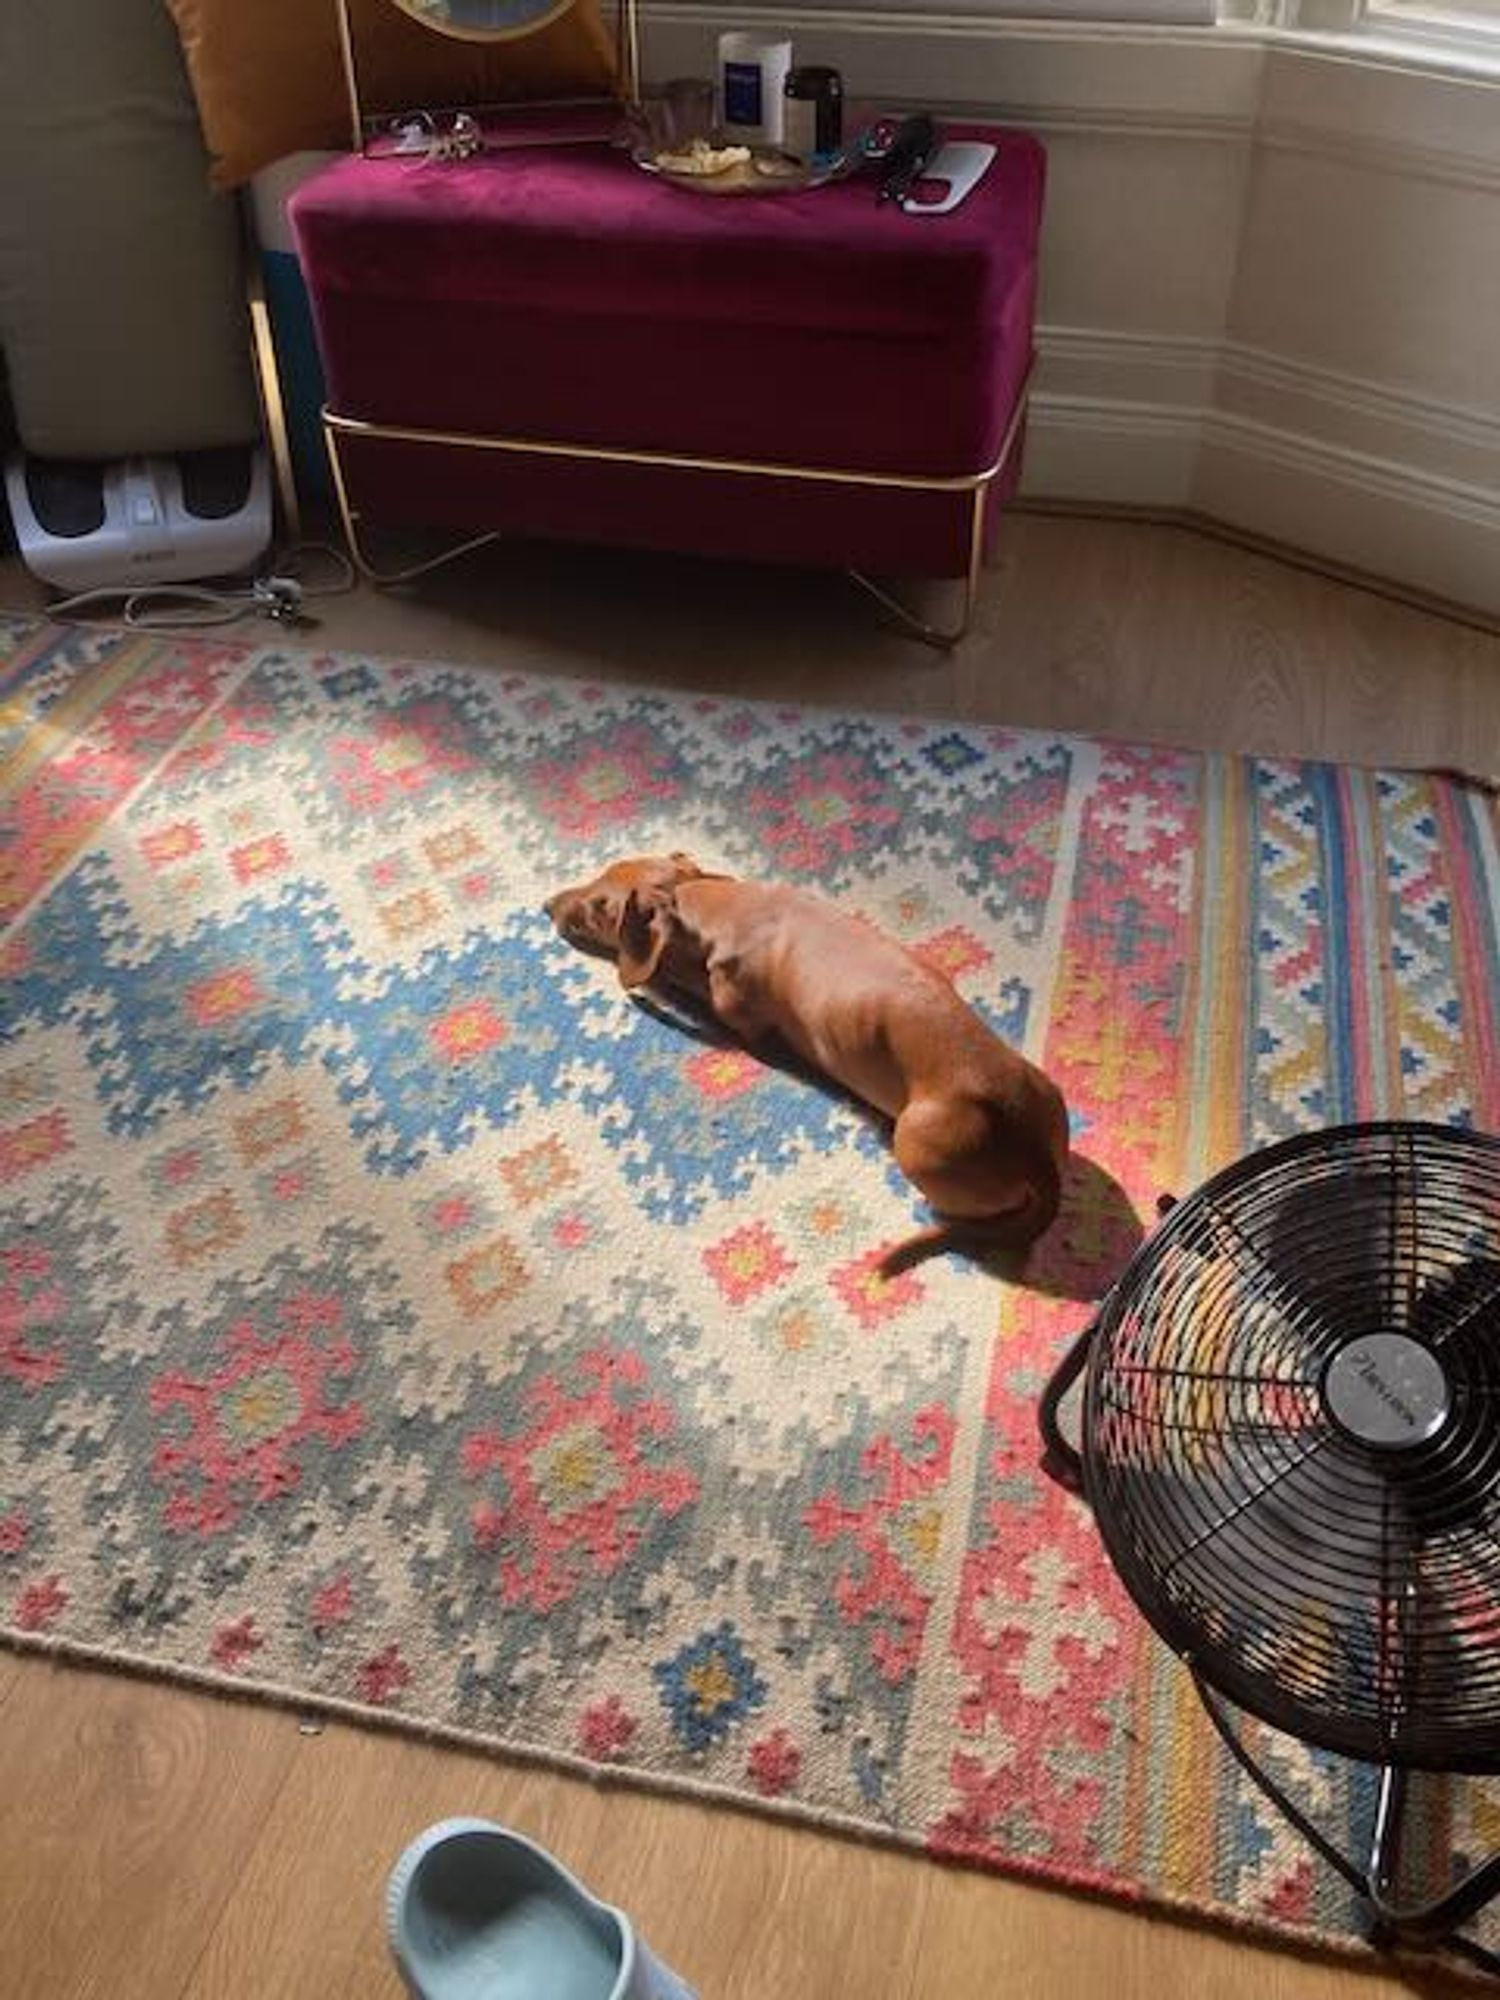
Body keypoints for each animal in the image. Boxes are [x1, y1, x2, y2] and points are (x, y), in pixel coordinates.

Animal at [548, 856, 1072, 1264]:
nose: (546, 905)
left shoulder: (739, 1017)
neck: (717, 904)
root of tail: (1034, 1156)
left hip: (915, 1145)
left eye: (599, 906)